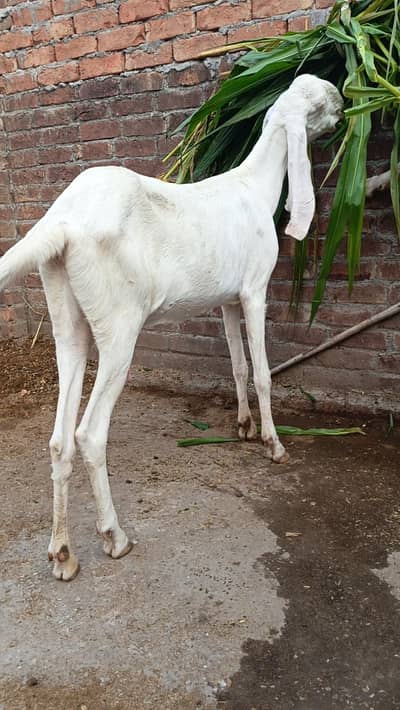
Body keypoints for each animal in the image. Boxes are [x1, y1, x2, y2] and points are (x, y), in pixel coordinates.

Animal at [0, 74, 343, 580]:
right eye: (319, 100)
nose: (345, 101)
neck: (253, 187)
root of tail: (62, 222)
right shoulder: (254, 291)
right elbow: (262, 372)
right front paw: (273, 444)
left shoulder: (228, 301)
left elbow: (238, 366)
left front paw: (242, 427)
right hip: (119, 327)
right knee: (89, 434)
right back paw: (114, 537)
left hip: (67, 321)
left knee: (60, 439)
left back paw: (63, 554)